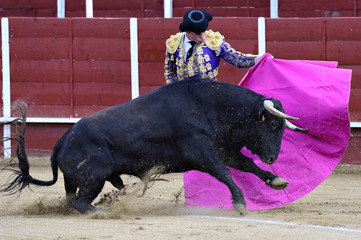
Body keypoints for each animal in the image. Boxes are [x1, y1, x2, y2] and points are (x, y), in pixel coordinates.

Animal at [0, 78, 304, 215]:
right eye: (272, 125)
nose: (273, 157)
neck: (210, 107)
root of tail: (62, 140)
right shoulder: (202, 152)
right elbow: (225, 173)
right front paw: (240, 203)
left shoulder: (223, 149)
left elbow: (246, 164)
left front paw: (276, 180)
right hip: (94, 177)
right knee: (80, 202)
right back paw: (103, 212)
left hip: (77, 180)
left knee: (70, 200)